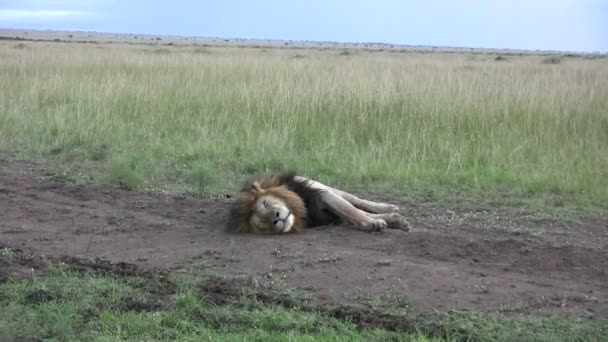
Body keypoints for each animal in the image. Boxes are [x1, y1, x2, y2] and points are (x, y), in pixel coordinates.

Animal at [226, 172, 410, 234]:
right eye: (263, 224)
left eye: (265, 204)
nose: (276, 218)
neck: (299, 209)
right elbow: (351, 214)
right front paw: (387, 221)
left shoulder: (322, 196)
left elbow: (351, 211)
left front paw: (371, 223)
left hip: (323, 186)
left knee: (356, 201)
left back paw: (389, 207)